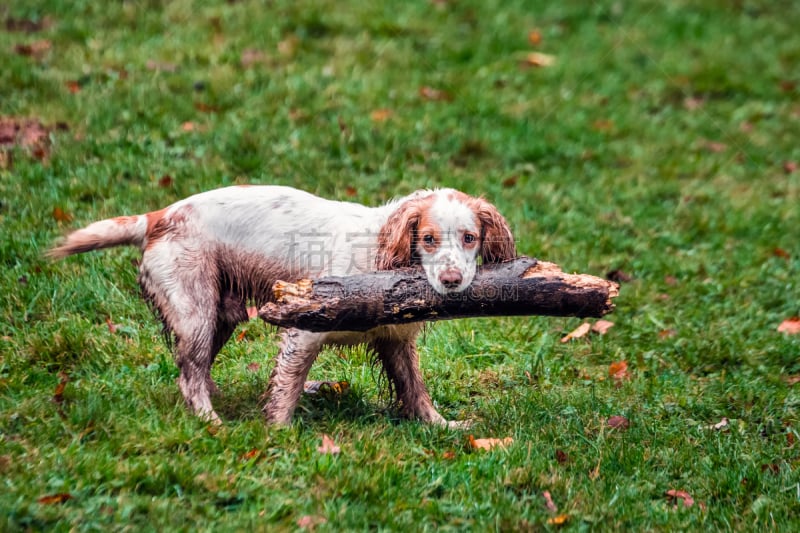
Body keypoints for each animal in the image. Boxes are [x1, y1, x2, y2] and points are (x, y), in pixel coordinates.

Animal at [50, 185, 516, 426]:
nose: (452, 281)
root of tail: (159, 216)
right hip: (195, 312)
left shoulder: (395, 341)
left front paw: (442, 427)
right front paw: (278, 433)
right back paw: (212, 422)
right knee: (189, 374)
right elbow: (286, 388)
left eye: (469, 238)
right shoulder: (305, 330)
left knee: (196, 370)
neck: (380, 254)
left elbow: (414, 390)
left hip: (219, 315)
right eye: (429, 239)